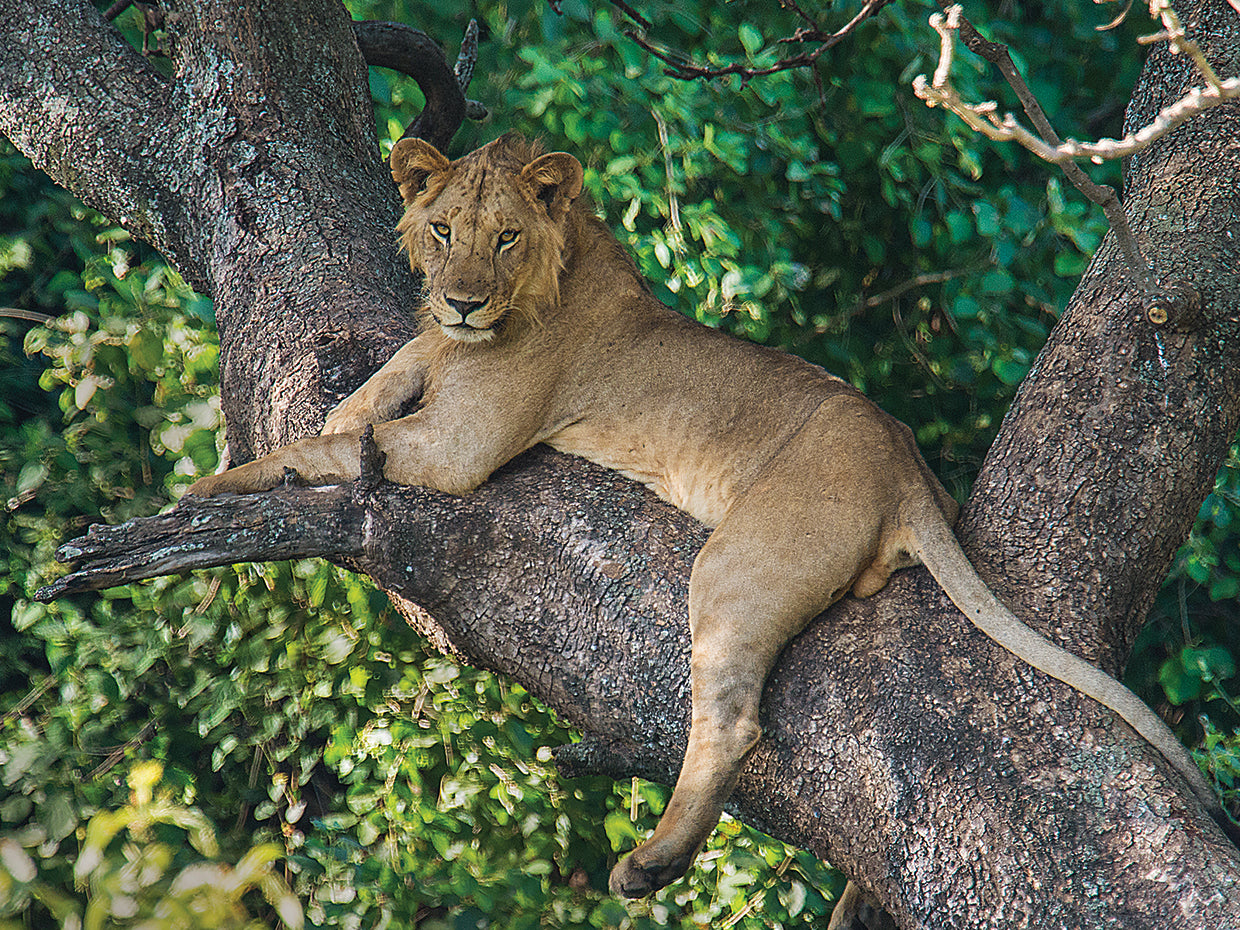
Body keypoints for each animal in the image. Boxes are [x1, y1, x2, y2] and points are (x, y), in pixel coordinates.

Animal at [189, 133, 1228, 896]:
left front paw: (207, 492)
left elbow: (322, 448)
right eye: (442, 230)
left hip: (737, 562)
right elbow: (359, 403)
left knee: (729, 725)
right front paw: (310, 424)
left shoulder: (461, 449)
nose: (463, 300)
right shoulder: (426, 367)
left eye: (505, 238)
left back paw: (651, 863)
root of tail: (907, 470)